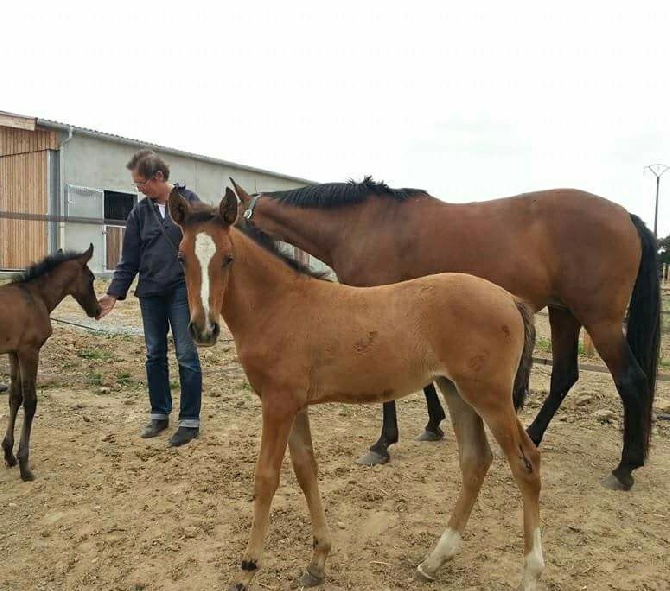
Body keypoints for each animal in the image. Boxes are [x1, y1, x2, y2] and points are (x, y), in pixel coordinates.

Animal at [0, 245, 101, 480]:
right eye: (91, 277)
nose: (97, 310)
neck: (36, 297)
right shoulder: (29, 351)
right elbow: (30, 402)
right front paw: (25, 465)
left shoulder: (14, 353)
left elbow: (15, 397)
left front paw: (9, 454)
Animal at [171, 188, 544, 591]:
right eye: (181, 257)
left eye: (228, 258)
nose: (203, 330)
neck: (280, 305)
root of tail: (509, 298)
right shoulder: (293, 405)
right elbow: (306, 469)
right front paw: (317, 562)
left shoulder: (277, 404)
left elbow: (267, 476)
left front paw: (248, 567)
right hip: (456, 389)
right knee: (476, 460)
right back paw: (434, 560)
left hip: (490, 396)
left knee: (526, 463)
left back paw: (530, 573)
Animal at [234, 178, 664, 492]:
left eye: (232, 221)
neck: (362, 225)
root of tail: (625, 215)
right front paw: (433, 424)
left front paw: (383, 443)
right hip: (564, 313)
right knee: (564, 376)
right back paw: (534, 436)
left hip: (600, 320)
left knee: (631, 380)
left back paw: (624, 468)